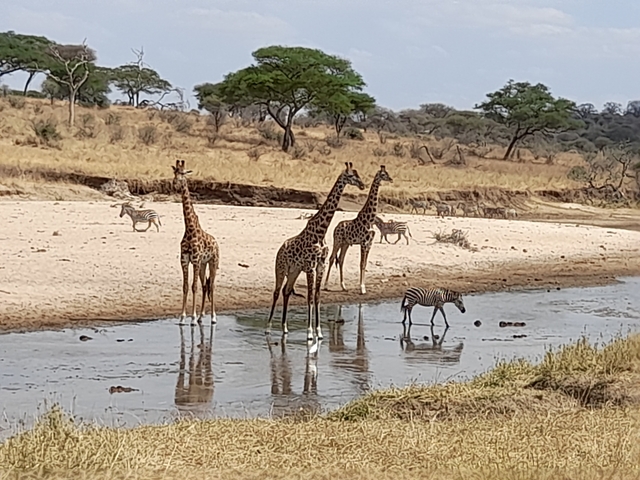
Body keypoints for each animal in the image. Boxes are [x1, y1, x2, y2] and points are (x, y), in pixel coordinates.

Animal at [172, 159, 220, 325]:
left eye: (182, 173)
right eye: (174, 173)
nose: (175, 184)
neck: (190, 229)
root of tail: (216, 242)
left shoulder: (196, 260)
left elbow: (194, 287)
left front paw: (191, 317)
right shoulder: (185, 260)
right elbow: (186, 286)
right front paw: (182, 317)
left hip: (212, 262)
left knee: (212, 285)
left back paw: (212, 317)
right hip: (203, 265)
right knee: (205, 286)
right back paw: (201, 316)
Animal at [267, 162, 366, 342]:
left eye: (358, 174)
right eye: (351, 176)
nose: (362, 185)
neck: (321, 231)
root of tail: (280, 249)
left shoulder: (320, 266)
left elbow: (317, 296)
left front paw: (318, 332)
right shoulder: (310, 267)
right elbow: (310, 297)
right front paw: (309, 332)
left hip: (294, 271)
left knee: (286, 291)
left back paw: (284, 328)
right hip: (281, 268)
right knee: (276, 292)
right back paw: (269, 328)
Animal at [324, 165, 393, 294]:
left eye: (387, 173)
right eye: (383, 174)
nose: (391, 179)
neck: (370, 219)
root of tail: (336, 226)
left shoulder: (369, 243)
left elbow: (364, 264)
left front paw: (363, 287)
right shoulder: (364, 243)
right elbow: (361, 264)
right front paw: (362, 288)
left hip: (345, 243)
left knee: (341, 260)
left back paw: (343, 286)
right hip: (337, 241)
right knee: (331, 258)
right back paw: (325, 285)